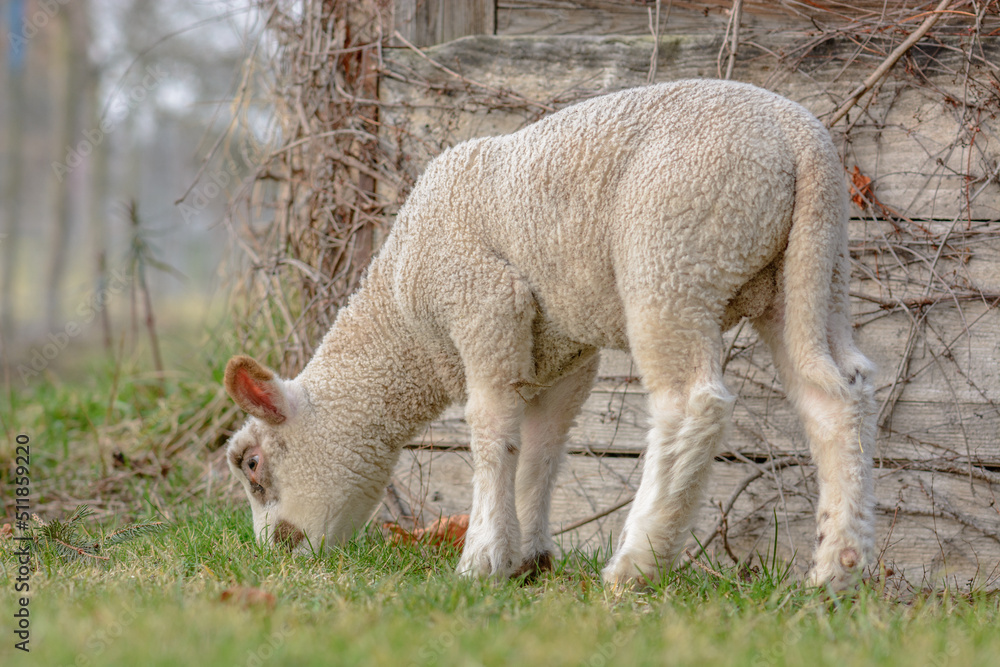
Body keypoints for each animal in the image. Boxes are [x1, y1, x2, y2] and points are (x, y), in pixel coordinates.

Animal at [223, 79, 876, 589]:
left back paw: (636, 565)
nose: (276, 557)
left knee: (693, 405)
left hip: (673, 257)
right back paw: (836, 572)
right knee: (836, 397)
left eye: (252, 466)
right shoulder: (563, 354)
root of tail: (800, 137)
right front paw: (527, 559)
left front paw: (480, 559)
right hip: (814, 272)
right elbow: (541, 449)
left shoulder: (484, 304)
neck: (405, 323)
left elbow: (491, 435)